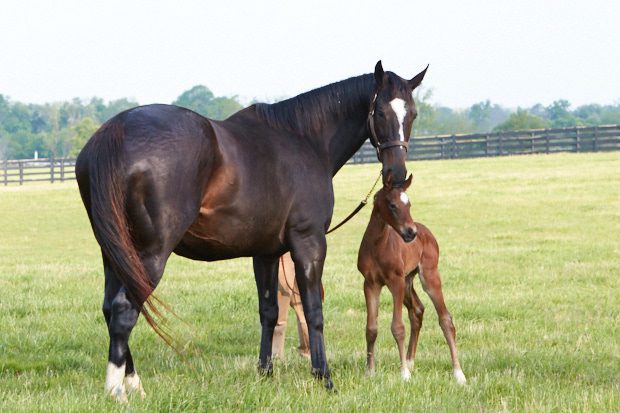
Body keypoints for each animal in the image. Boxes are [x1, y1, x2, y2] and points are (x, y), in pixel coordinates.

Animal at [358, 173, 464, 384]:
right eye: (392, 205)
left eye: (409, 204)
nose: (410, 232)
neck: (377, 245)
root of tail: (426, 230)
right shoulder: (371, 284)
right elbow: (371, 329)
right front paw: (370, 372)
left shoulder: (395, 281)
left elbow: (398, 327)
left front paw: (404, 374)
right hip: (408, 282)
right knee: (417, 310)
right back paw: (410, 361)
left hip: (428, 276)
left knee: (445, 319)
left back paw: (458, 373)